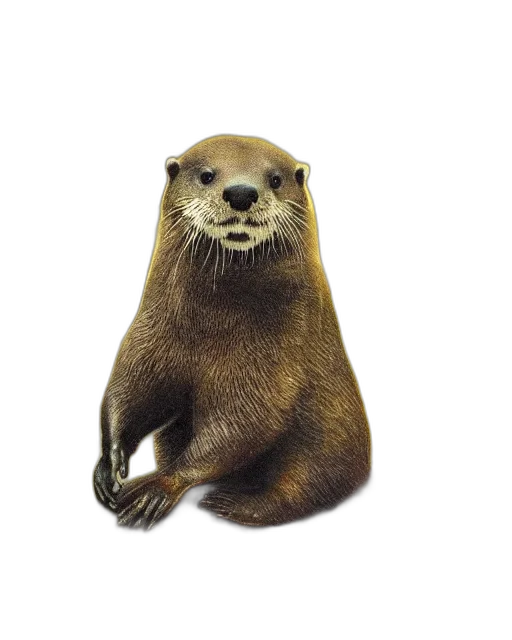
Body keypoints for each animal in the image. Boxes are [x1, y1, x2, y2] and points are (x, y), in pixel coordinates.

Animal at [93, 135, 372, 531]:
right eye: (207, 175)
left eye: (275, 180)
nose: (241, 192)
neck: (210, 330)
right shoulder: (149, 339)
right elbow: (130, 390)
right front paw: (110, 466)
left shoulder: (270, 364)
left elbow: (245, 423)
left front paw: (157, 485)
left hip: (330, 448)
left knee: (300, 491)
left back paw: (232, 504)